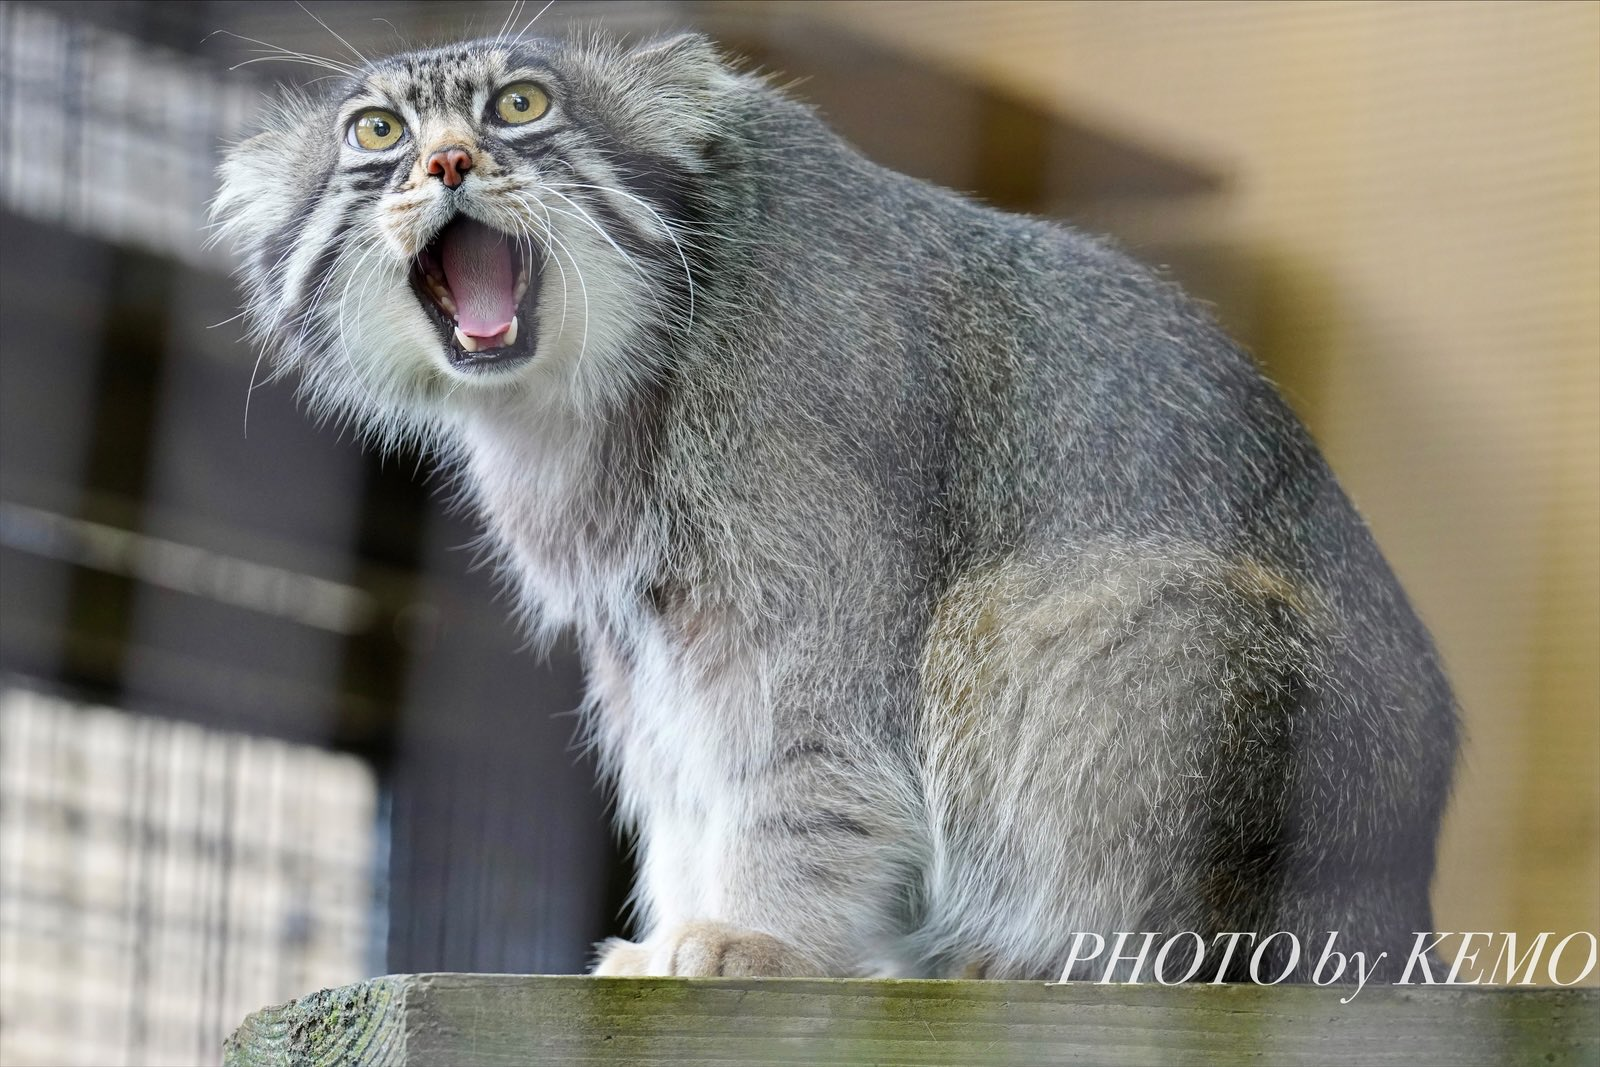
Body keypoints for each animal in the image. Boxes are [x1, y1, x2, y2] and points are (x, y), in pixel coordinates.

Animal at [216, 29, 1465, 979]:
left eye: (521, 104)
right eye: (376, 131)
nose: (448, 164)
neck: (611, 383)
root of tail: (1399, 909)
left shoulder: (813, 562)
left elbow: (806, 751)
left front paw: (756, 932)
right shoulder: (639, 619)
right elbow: (677, 765)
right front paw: (682, 921)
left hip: (1094, 624)